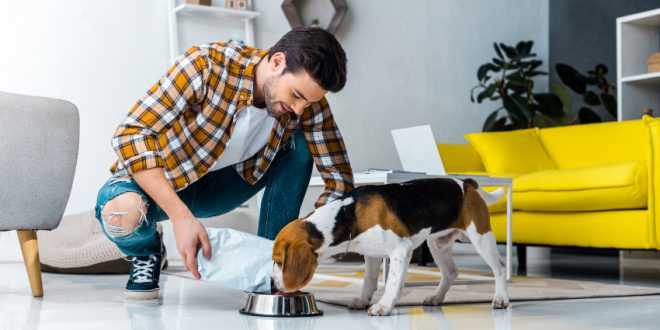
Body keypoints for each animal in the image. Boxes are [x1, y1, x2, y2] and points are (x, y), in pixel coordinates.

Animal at [270, 177, 508, 316]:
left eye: (279, 261)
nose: (272, 284)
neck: (349, 215)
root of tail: (467, 184)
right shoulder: (372, 254)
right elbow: (369, 281)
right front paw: (363, 301)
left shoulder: (401, 251)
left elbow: (392, 283)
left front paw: (384, 306)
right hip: (436, 244)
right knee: (451, 273)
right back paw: (436, 298)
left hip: (481, 237)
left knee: (500, 268)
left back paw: (501, 299)